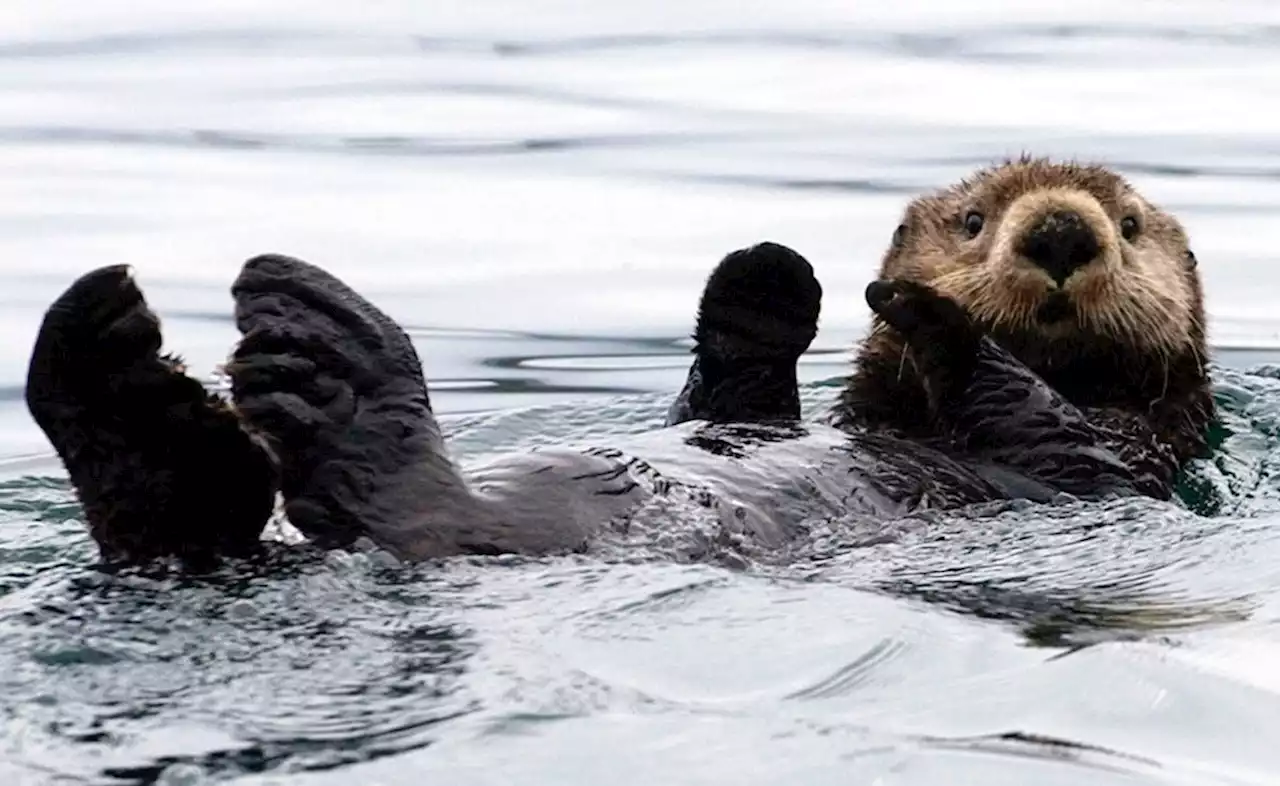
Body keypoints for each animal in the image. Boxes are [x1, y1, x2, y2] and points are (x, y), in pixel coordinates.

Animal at [24, 156, 1213, 570]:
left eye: (1128, 226)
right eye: (972, 220)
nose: (1057, 232)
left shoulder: (1119, 461)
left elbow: (1042, 424)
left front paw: (926, 314)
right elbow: (734, 393)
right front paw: (764, 282)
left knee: (406, 512)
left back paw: (315, 362)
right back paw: (116, 377)